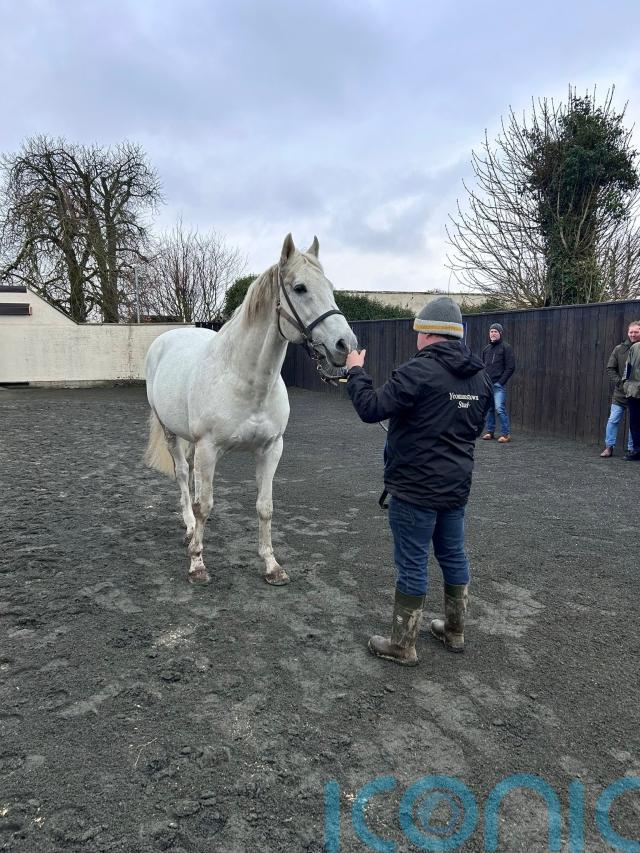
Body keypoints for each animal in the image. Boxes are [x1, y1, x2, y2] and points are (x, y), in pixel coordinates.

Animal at [144, 234, 357, 586]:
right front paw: (197, 564)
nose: (345, 345)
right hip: (171, 432)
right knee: (183, 475)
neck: (245, 380)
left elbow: (264, 507)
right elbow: (205, 505)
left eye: (330, 286)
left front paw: (272, 566)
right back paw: (189, 527)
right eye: (300, 288)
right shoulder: (209, 449)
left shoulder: (271, 449)